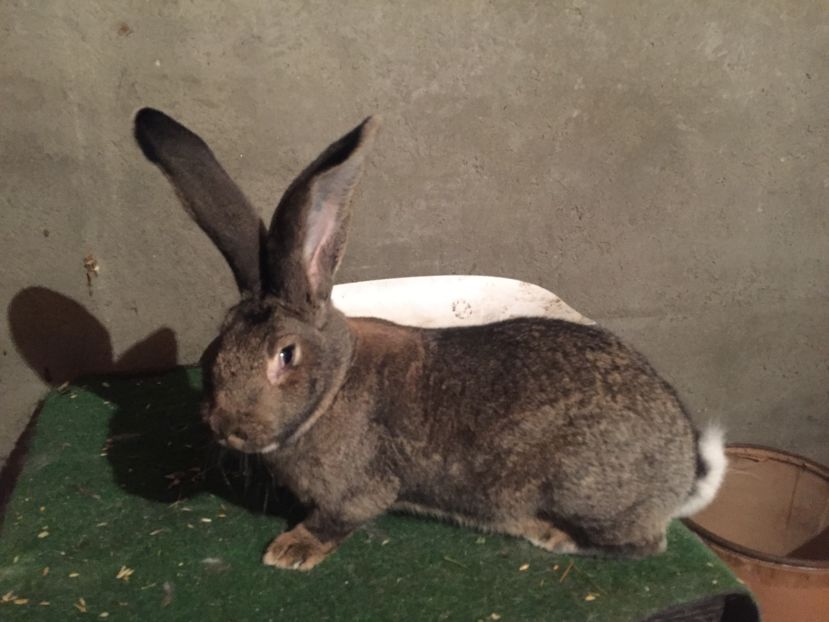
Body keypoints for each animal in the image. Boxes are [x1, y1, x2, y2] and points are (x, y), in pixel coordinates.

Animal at [133, 107, 726, 571]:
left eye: (285, 355)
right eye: (216, 345)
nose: (226, 427)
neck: (333, 389)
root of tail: (682, 474)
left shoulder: (359, 490)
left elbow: (337, 519)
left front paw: (290, 550)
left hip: (583, 489)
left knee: (644, 544)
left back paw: (552, 535)